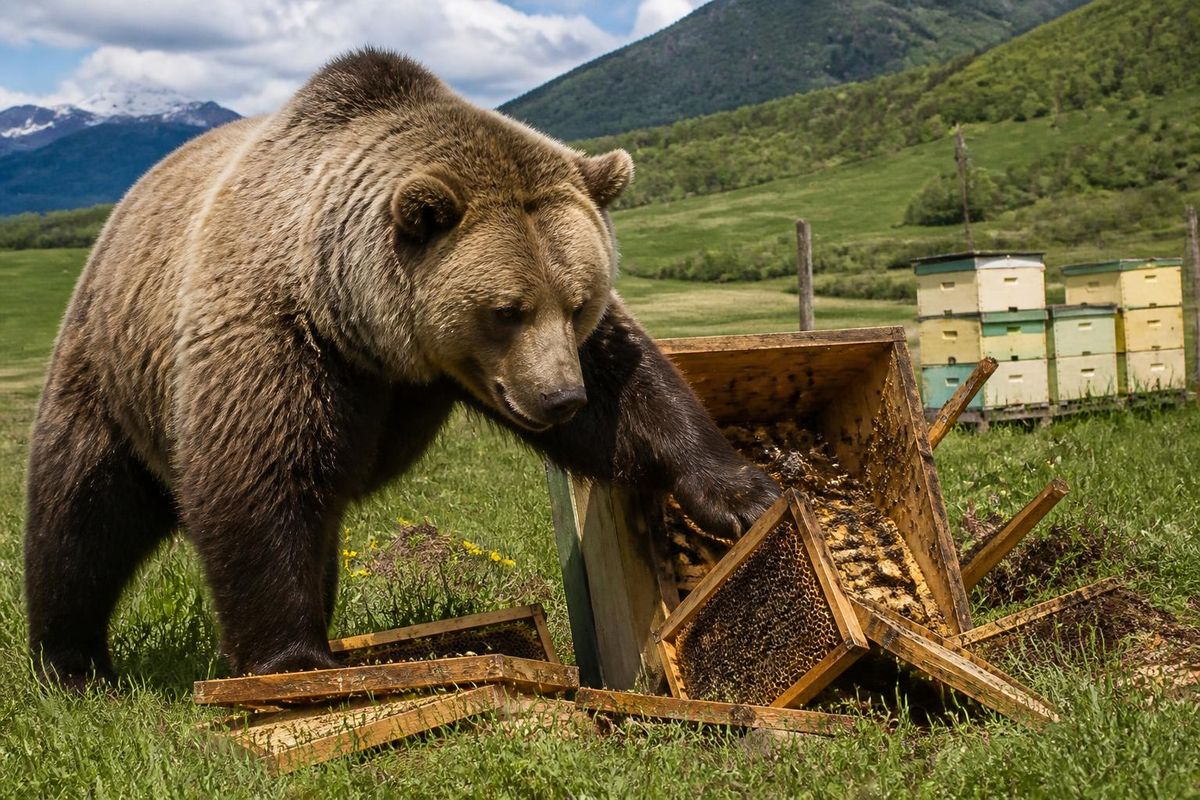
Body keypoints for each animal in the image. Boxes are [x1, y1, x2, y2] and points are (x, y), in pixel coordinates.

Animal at [24, 48, 778, 688]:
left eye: (578, 301)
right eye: (507, 309)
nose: (560, 397)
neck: (370, 334)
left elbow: (631, 393)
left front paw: (743, 493)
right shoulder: (277, 331)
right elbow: (260, 478)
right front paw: (291, 658)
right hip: (109, 367)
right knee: (80, 513)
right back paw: (71, 661)